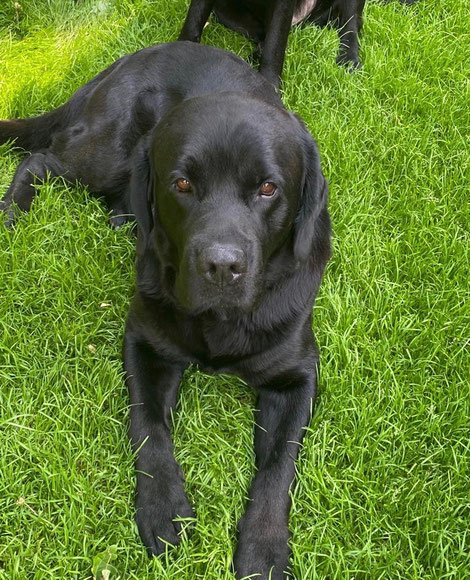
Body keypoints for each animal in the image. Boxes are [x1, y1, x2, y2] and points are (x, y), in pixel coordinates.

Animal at [0, 42, 330, 580]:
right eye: (182, 184)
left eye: (268, 188)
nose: (221, 265)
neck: (219, 326)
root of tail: (131, 57)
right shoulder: (144, 341)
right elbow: (148, 426)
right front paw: (161, 508)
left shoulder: (299, 372)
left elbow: (279, 464)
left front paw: (263, 547)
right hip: (106, 153)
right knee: (39, 159)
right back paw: (12, 212)